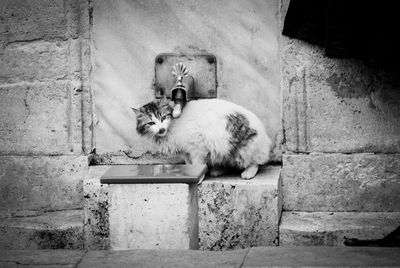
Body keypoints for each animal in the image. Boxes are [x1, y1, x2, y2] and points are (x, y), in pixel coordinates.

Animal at [131, 96, 272, 180]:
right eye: (151, 123)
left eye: (163, 117)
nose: (161, 129)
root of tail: (265, 136)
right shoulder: (186, 152)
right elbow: (189, 163)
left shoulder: (197, 146)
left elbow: (197, 163)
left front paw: (198, 176)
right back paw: (217, 171)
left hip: (244, 149)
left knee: (255, 162)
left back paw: (248, 173)